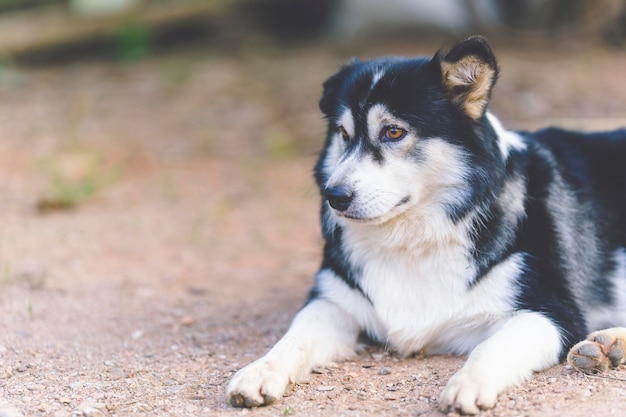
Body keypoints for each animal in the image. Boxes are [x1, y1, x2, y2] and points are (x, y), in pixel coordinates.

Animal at [225, 36, 624, 412]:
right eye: (344, 133)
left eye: (394, 132)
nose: (333, 196)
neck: (414, 237)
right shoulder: (333, 301)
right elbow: (294, 337)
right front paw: (259, 371)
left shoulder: (551, 314)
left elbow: (492, 346)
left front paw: (468, 384)